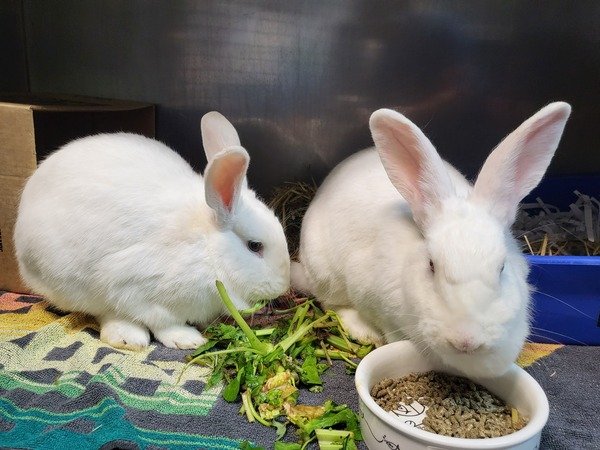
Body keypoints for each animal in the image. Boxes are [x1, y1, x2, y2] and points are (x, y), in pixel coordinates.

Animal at [15, 110, 292, 350]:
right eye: (255, 246)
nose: (283, 287)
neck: (207, 249)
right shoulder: (137, 289)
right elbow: (162, 322)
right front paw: (187, 339)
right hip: (68, 282)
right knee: (103, 311)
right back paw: (128, 337)